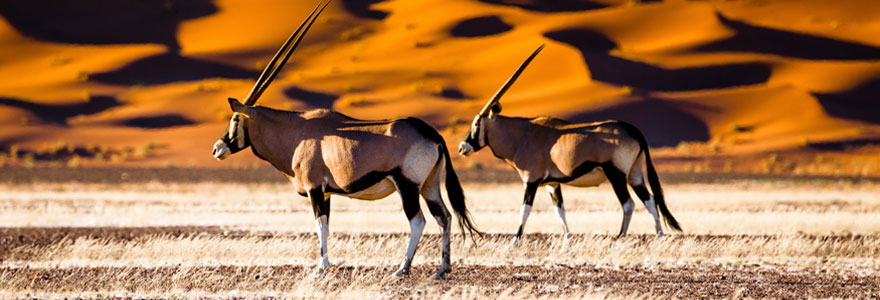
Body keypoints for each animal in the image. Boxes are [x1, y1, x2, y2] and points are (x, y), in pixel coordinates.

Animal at [209, 0, 478, 278]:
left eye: (235, 120)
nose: (217, 149)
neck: (296, 133)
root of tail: (432, 135)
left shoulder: (315, 189)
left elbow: (320, 227)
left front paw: (321, 268)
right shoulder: (327, 194)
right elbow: (327, 226)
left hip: (408, 186)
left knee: (418, 221)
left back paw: (402, 269)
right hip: (430, 185)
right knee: (444, 217)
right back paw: (443, 268)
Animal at [458, 45, 684, 245]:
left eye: (476, 124)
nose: (462, 147)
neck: (522, 135)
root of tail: (632, 129)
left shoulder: (531, 181)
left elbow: (525, 210)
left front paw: (515, 241)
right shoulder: (552, 184)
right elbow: (560, 210)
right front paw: (567, 239)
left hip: (616, 174)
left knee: (628, 204)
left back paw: (619, 237)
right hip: (634, 174)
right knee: (650, 200)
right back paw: (660, 236)